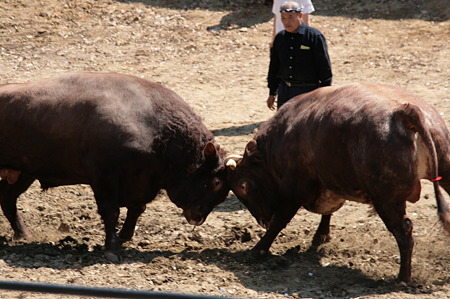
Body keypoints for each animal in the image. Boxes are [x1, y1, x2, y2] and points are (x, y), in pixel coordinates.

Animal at [0, 72, 230, 262]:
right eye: (216, 181)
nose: (198, 217)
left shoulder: (144, 181)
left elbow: (137, 209)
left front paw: (124, 237)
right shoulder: (104, 177)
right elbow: (111, 212)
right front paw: (112, 248)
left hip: (23, 173)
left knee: (8, 199)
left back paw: (23, 234)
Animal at [229, 82, 450, 284]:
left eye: (243, 186)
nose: (262, 220)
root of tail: (405, 112)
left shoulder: (294, 188)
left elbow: (280, 220)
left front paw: (258, 249)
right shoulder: (330, 182)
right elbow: (328, 211)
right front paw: (321, 235)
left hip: (387, 199)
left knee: (403, 231)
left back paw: (403, 278)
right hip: (444, 170)